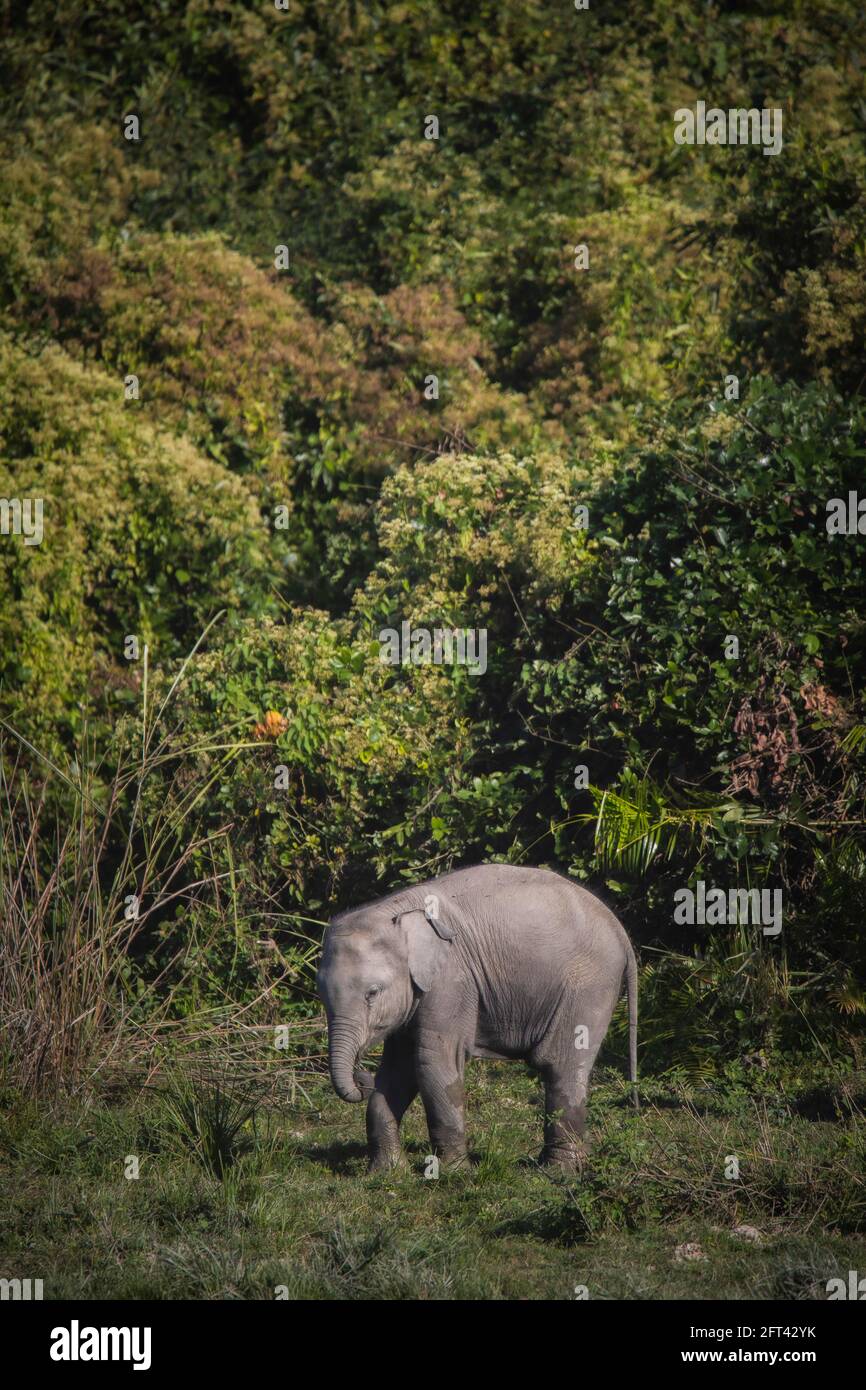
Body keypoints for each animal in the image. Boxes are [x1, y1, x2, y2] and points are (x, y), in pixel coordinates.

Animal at [318, 861, 636, 1167]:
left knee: (561, 1062)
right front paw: (388, 1171)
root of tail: (620, 931)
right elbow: (398, 1068)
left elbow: (433, 1061)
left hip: (588, 985)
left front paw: (455, 1172)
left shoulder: (451, 981)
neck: (394, 910)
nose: (361, 1077)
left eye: (372, 993)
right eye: (321, 994)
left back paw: (559, 1171)